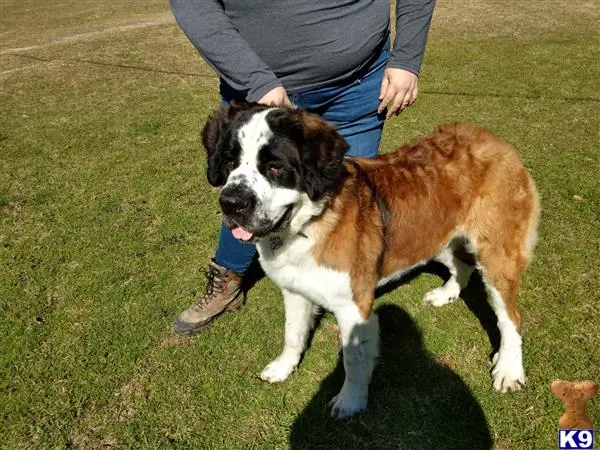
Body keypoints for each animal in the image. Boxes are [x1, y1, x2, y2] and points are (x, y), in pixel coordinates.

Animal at [200, 102, 540, 418]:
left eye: (274, 168)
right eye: (229, 162)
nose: (231, 202)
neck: (311, 220)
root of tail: (496, 142)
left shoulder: (353, 308)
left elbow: (353, 358)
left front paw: (350, 401)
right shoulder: (295, 291)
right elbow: (292, 334)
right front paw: (283, 367)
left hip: (496, 258)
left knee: (511, 318)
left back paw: (509, 368)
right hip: (433, 234)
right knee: (462, 265)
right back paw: (447, 294)